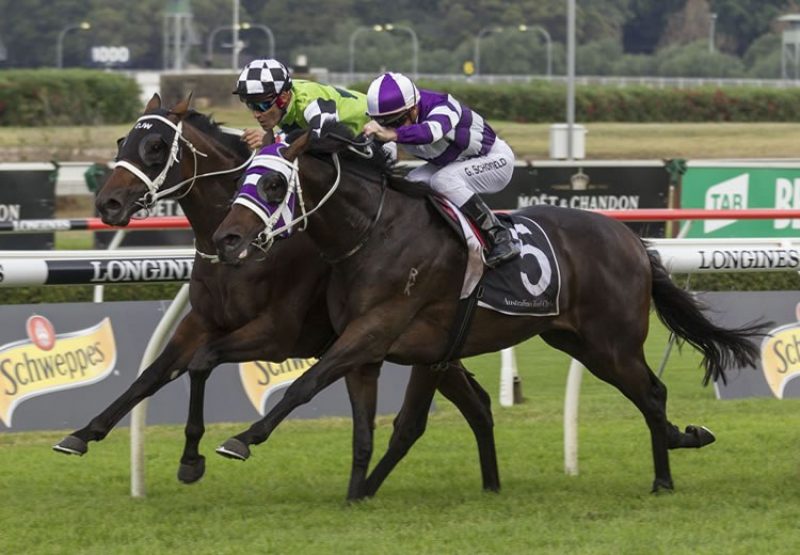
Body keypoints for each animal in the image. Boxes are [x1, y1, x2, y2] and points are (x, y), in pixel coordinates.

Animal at [51, 94, 500, 500]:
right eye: (122, 141)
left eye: (156, 147)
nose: (108, 203)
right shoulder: (202, 321)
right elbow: (153, 374)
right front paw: (83, 433)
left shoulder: (276, 334)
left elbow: (201, 363)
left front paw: (193, 458)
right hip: (430, 347)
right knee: (476, 404)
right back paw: (488, 484)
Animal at [211, 122, 764, 496]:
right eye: (242, 179)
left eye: (273, 185)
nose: (227, 239)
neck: (373, 232)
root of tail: (630, 239)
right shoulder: (387, 351)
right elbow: (372, 429)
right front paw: (356, 494)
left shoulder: (374, 332)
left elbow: (307, 385)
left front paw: (242, 439)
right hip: (576, 340)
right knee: (649, 394)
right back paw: (676, 449)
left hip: (612, 343)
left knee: (651, 392)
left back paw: (668, 471)